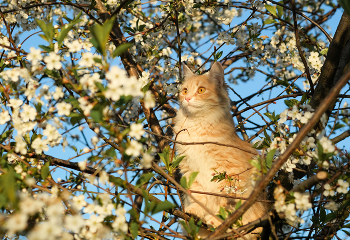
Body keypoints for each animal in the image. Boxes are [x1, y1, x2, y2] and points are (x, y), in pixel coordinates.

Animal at [174, 61, 266, 238]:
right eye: (185, 90)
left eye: (201, 90)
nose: (187, 98)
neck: (197, 128)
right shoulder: (191, 172)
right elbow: (198, 197)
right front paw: (194, 212)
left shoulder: (229, 173)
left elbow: (225, 202)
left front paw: (218, 220)